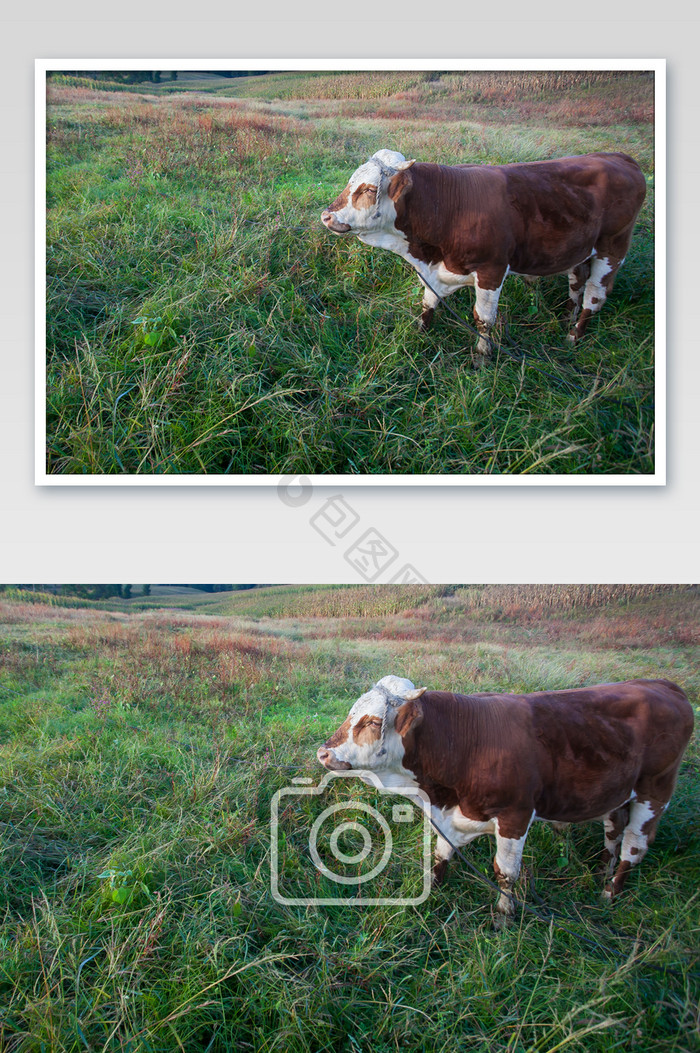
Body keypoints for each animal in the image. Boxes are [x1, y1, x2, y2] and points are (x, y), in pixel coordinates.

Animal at [317, 678, 694, 918]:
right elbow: (441, 855)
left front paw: (502, 917)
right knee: (613, 832)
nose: (323, 753)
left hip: (654, 792)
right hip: (617, 794)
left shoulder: (516, 815)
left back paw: (608, 895)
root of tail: (663, 684)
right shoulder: (451, 818)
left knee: (633, 848)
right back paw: (602, 872)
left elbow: (506, 872)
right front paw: (434, 891)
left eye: (372, 721)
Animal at [320, 150, 648, 366]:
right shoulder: (436, 271)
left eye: (368, 189)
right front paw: (421, 332)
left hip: (612, 249)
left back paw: (573, 337)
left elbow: (483, 319)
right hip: (580, 251)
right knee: (576, 283)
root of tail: (618, 157)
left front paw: (481, 357)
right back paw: (567, 317)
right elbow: (428, 303)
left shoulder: (492, 270)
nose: (327, 216)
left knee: (594, 296)